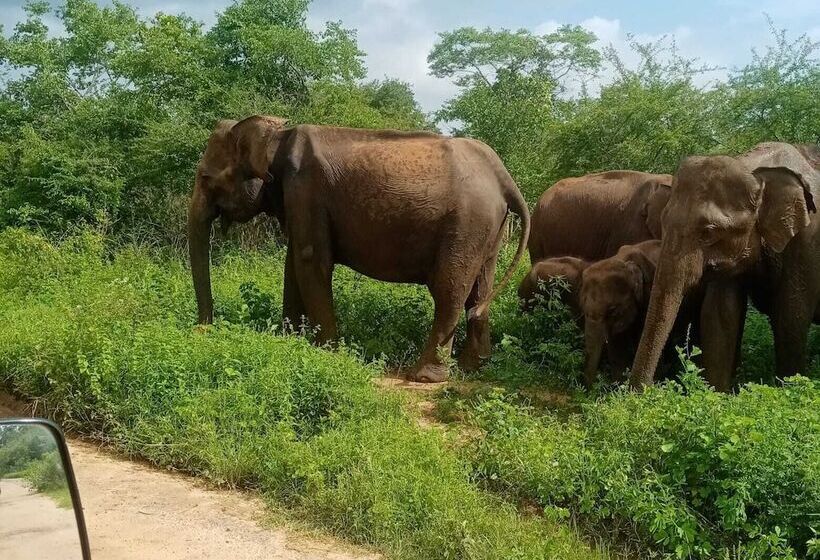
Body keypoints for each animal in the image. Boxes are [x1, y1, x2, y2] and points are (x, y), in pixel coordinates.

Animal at [188, 116, 531, 383]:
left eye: (205, 177)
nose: (203, 330)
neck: (277, 135)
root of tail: (504, 178)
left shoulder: (306, 190)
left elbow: (311, 261)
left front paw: (327, 354)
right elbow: (293, 263)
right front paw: (289, 341)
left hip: (467, 223)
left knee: (449, 289)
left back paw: (423, 376)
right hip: (488, 227)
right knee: (479, 288)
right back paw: (473, 368)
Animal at [580, 240, 702, 388]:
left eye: (612, 310)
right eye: (583, 307)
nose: (588, 389)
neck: (624, 262)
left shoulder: (650, 294)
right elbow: (618, 343)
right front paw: (618, 386)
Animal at [631, 142, 820, 391]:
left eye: (709, 232)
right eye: (662, 222)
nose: (639, 392)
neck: (754, 168)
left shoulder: (806, 241)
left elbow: (792, 314)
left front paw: (790, 386)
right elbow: (721, 315)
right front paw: (718, 393)